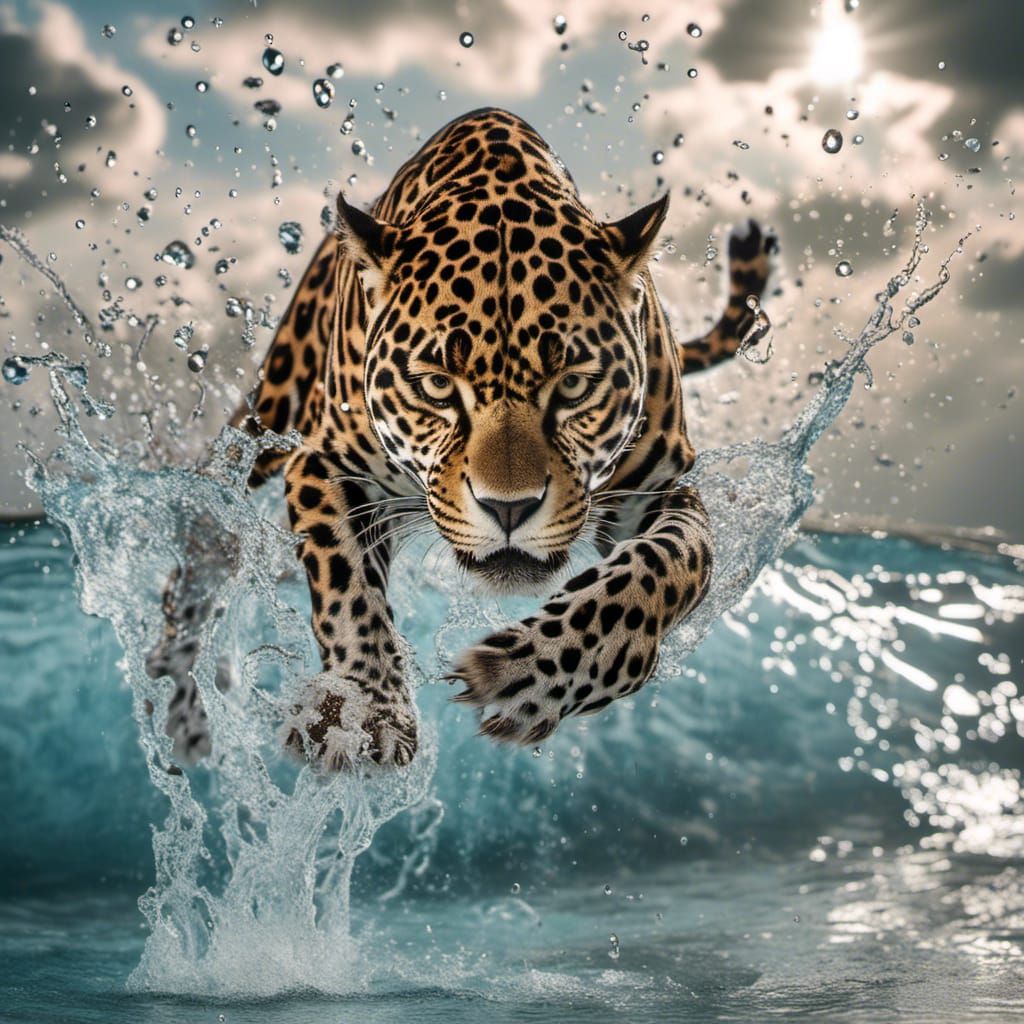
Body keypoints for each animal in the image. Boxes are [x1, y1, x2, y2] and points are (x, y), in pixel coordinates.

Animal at [146, 107, 777, 769]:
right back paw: (179, 700)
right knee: (208, 545)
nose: (510, 509)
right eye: (437, 386)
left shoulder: (658, 489)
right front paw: (363, 707)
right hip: (267, 415)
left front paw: (537, 673)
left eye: (573, 384)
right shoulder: (325, 464)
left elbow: (668, 566)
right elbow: (347, 588)